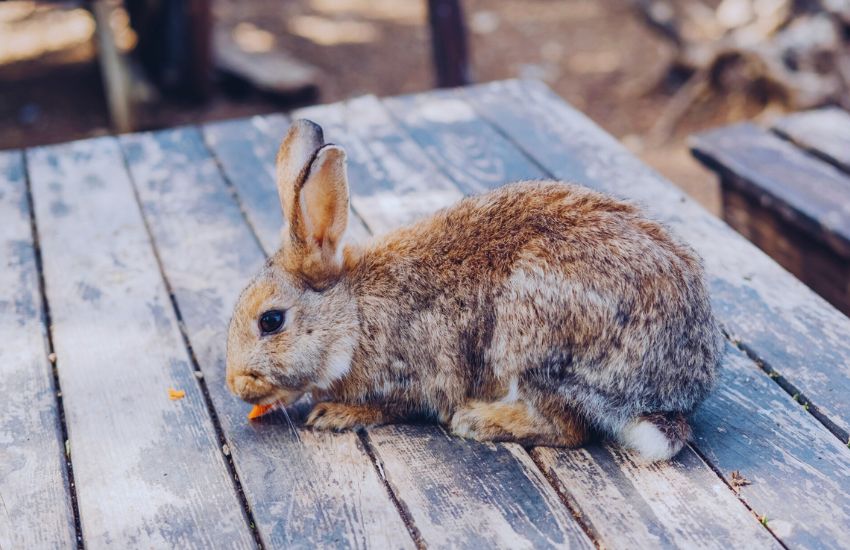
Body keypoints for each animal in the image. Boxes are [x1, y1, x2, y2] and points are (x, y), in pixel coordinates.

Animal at [227, 119, 724, 462]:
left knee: (569, 429)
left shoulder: (418, 374)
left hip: (532, 339)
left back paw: (478, 419)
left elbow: (396, 404)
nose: (236, 385)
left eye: (271, 321)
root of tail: (677, 390)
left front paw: (335, 414)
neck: (353, 313)